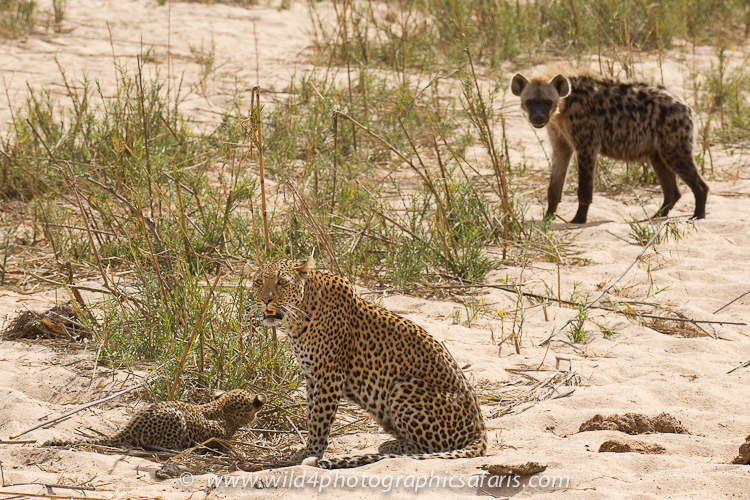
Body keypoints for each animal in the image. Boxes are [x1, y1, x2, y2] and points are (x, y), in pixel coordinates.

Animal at [246, 256, 487, 469]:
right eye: (258, 282)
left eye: (282, 282)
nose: (266, 300)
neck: (298, 316)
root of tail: (481, 431)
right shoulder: (312, 376)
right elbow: (311, 413)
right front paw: (307, 450)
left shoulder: (329, 375)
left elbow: (319, 419)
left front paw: (312, 452)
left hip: (404, 387)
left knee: (429, 448)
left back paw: (391, 446)